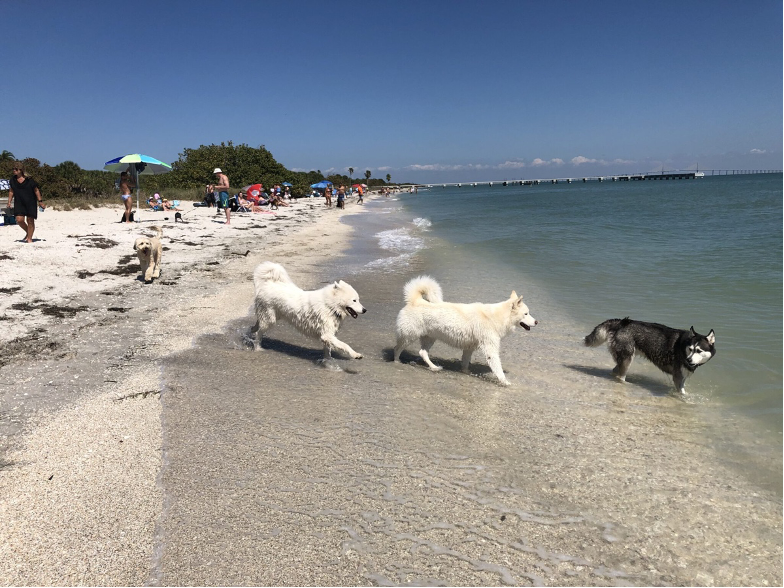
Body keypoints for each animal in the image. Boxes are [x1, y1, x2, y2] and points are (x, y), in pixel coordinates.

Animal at [392, 276, 540, 386]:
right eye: (526, 314)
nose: (537, 322)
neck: (496, 317)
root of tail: (415, 300)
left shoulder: (469, 347)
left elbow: (465, 362)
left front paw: (466, 372)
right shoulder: (490, 349)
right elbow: (497, 367)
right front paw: (505, 382)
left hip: (430, 338)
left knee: (422, 352)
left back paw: (434, 367)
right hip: (409, 335)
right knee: (397, 348)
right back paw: (396, 361)